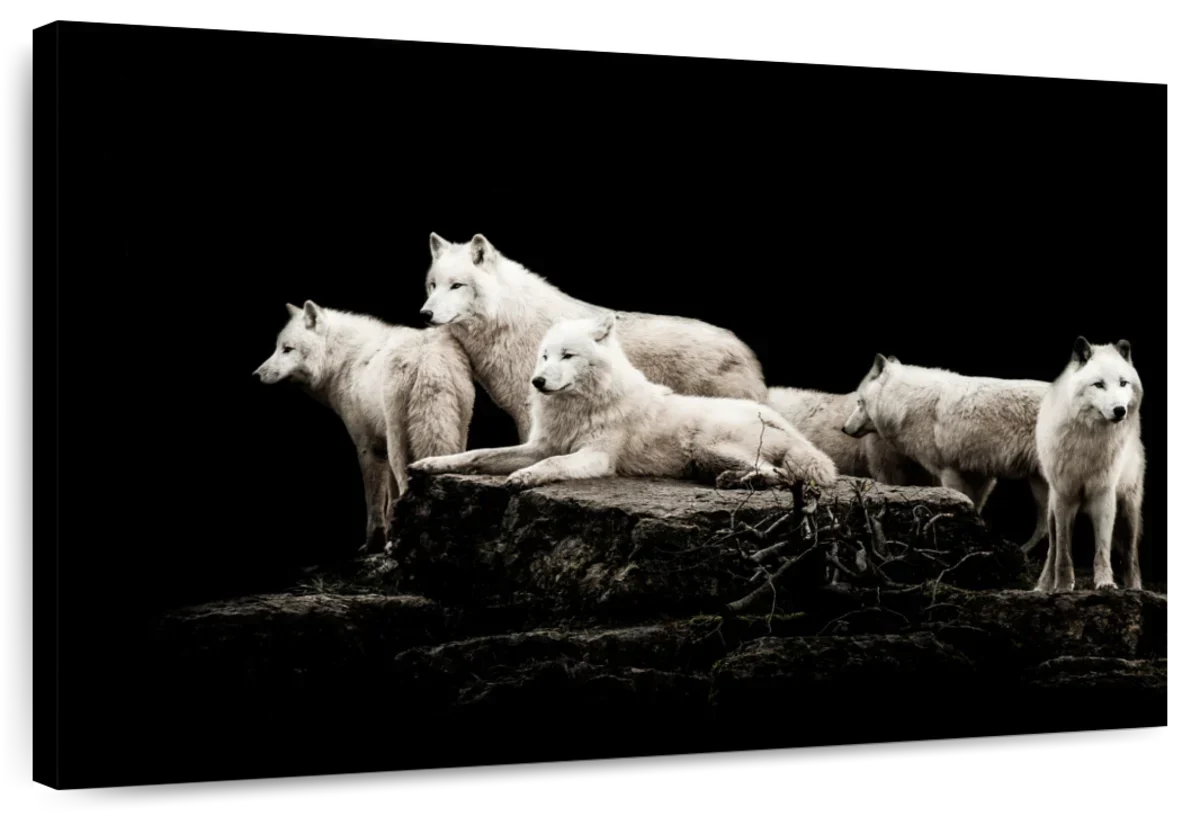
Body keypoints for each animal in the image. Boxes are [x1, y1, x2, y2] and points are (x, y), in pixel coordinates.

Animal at [253, 300, 475, 551]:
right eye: (277, 347)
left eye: (287, 349)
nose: (256, 375)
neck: (344, 362)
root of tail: (428, 360)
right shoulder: (383, 447)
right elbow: (392, 498)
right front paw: (389, 535)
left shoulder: (370, 448)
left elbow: (375, 501)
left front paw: (374, 543)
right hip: (455, 436)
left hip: (398, 446)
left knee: (405, 484)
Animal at [407, 313, 838, 492]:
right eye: (544, 356)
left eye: (568, 356)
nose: (538, 382)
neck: (578, 408)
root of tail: (774, 415)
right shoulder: (537, 445)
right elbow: (476, 454)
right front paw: (431, 464)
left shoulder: (595, 457)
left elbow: (553, 464)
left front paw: (525, 477)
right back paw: (735, 480)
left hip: (708, 445)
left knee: (783, 474)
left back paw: (740, 481)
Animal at [418, 233, 769, 442]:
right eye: (433, 285)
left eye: (457, 285)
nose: (425, 314)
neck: (508, 318)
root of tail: (744, 348)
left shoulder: (531, 408)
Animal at [841, 354, 1051, 553]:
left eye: (860, 402)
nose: (844, 428)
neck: (905, 403)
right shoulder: (979, 475)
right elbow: (974, 507)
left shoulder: (949, 471)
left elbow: (960, 501)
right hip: (1039, 484)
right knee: (1045, 530)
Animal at [1033, 337, 1145, 592]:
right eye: (1099, 385)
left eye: (1123, 383)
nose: (1120, 410)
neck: (1089, 440)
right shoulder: (1064, 497)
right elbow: (1063, 551)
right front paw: (1063, 586)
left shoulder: (1104, 496)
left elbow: (1102, 548)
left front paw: (1105, 582)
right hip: (1051, 510)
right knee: (1052, 548)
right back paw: (1043, 586)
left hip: (1129, 509)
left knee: (1131, 554)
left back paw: (1134, 588)